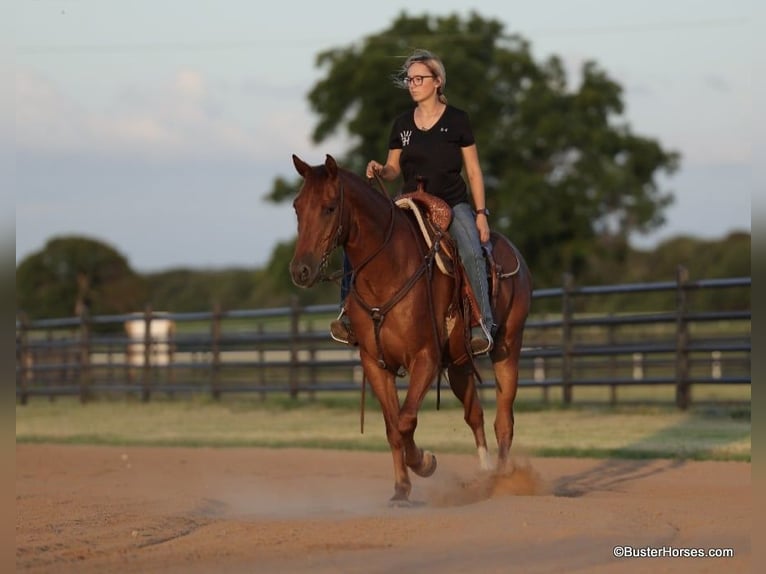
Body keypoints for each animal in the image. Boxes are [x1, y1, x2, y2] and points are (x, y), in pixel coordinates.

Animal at [290, 154, 536, 504]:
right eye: (297, 206)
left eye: (329, 207)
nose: (300, 270)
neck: (388, 272)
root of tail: (514, 254)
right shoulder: (376, 364)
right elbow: (393, 427)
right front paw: (401, 491)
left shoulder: (425, 359)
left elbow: (406, 420)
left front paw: (425, 462)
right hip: (459, 363)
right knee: (474, 414)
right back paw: (486, 473)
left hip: (507, 349)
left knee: (504, 421)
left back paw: (502, 481)